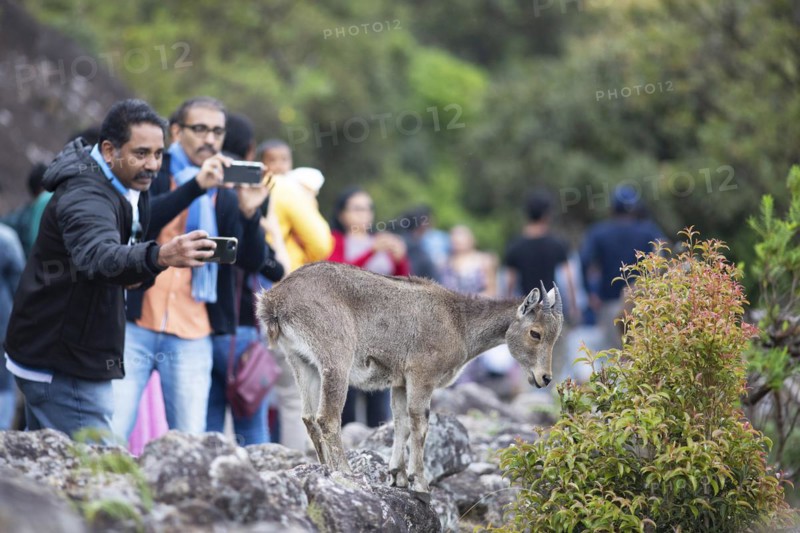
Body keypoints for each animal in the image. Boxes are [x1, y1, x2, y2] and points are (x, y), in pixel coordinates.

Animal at [256, 261, 563, 496]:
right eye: (535, 333)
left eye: (556, 335)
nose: (544, 377)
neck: (459, 324)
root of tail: (274, 301)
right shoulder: (422, 375)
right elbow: (420, 422)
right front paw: (421, 483)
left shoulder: (400, 382)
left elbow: (400, 422)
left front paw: (398, 476)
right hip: (336, 359)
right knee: (327, 417)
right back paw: (344, 470)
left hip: (300, 361)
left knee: (308, 417)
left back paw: (324, 467)